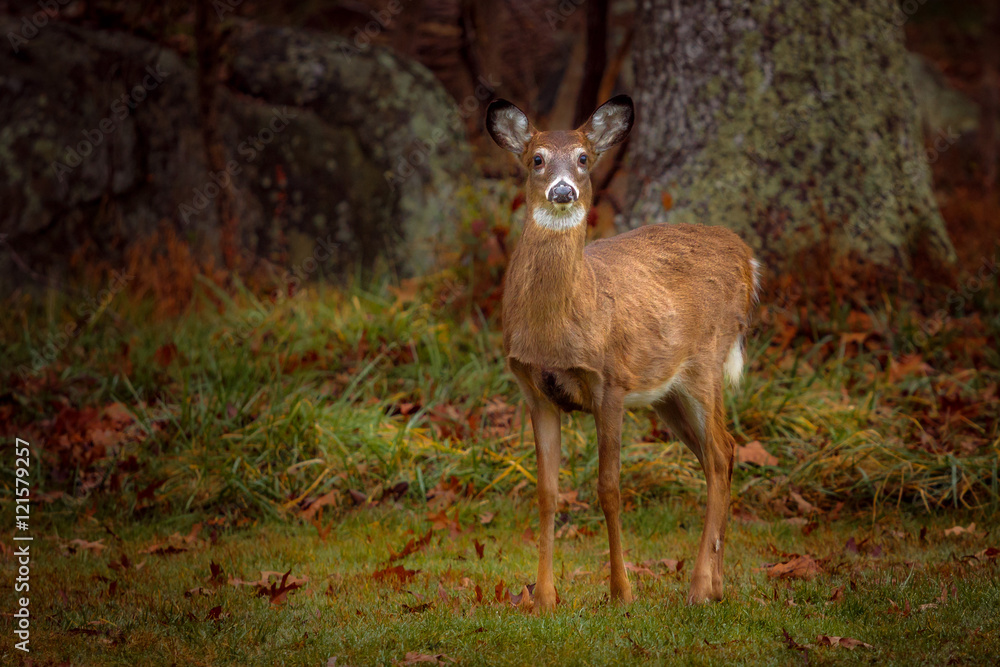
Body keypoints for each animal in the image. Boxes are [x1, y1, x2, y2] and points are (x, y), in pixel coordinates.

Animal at [485, 95, 760, 611]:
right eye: (536, 159)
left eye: (583, 158)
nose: (564, 190)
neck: (555, 329)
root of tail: (747, 258)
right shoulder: (533, 389)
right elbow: (547, 492)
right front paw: (544, 597)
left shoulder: (609, 382)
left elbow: (609, 488)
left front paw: (621, 592)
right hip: (668, 392)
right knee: (724, 451)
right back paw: (716, 584)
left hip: (705, 362)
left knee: (718, 453)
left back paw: (698, 587)